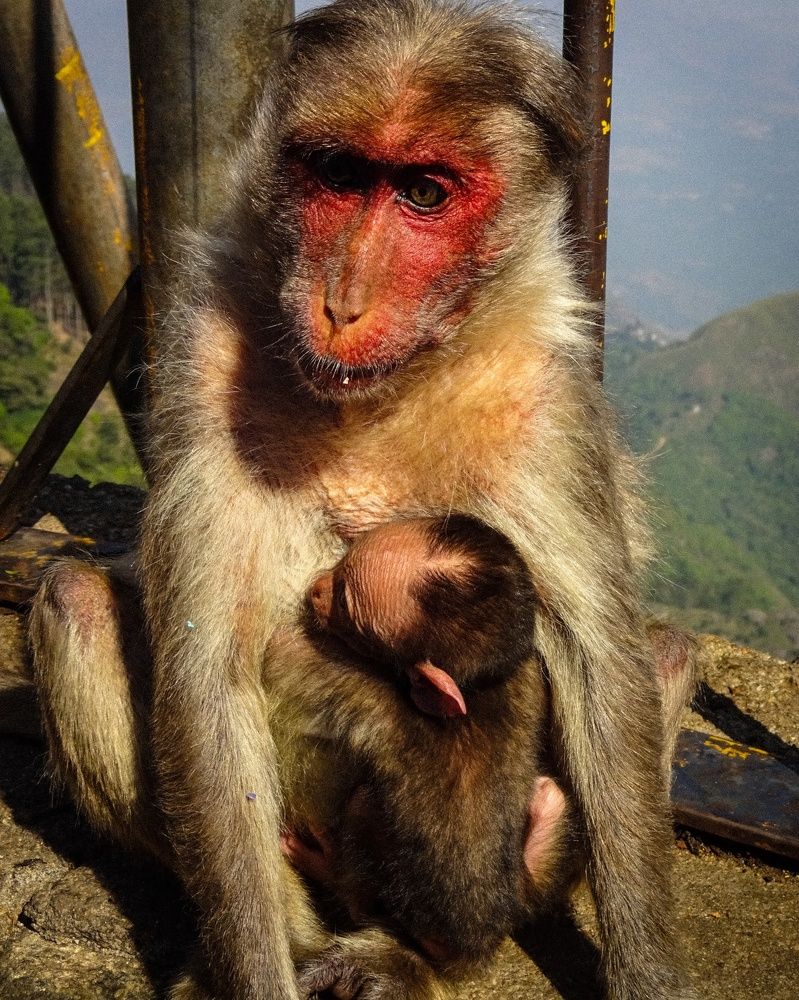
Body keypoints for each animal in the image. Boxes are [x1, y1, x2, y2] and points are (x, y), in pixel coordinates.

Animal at [27, 2, 700, 999]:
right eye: (340, 176)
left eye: (423, 193)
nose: (342, 299)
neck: (385, 392)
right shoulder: (200, 355)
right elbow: (207, 675)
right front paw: (254, 972)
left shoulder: (549, 392)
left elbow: (603, 674)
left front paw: (649, 971)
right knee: (76, 602)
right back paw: (277, 949)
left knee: (658, 655)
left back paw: (421, 957)